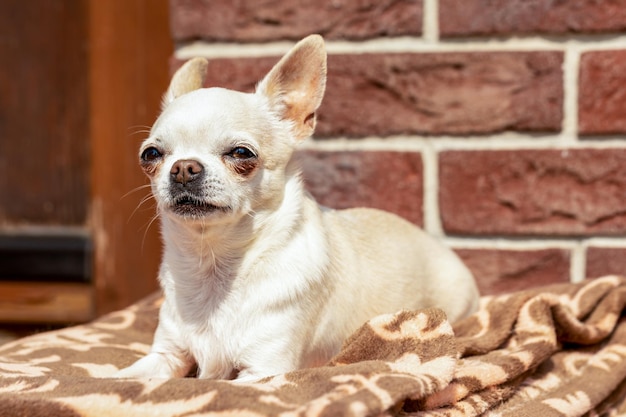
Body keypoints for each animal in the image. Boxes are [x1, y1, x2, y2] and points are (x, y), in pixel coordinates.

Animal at [117, 35, 478, 380]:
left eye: (241, 153)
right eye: (150, 155)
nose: (183, 168)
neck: (213, 263)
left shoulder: (264, 372)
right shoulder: (166, 356)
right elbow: (121, 378)